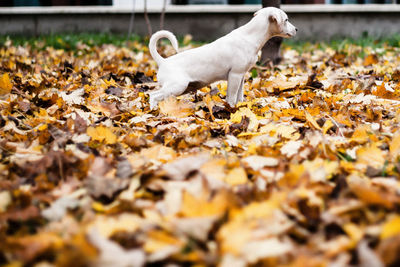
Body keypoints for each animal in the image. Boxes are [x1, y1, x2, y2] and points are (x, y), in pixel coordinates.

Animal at [148, 7, 296, 109]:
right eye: (286, 20)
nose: (296, 29)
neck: (249, 37)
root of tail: (163, 61)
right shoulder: (235, 75)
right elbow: (231, 96)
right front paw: (231, 108)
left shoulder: (241, 76)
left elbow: (239, 95)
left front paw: (240, 107)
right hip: (177, 86)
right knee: (153, 96)